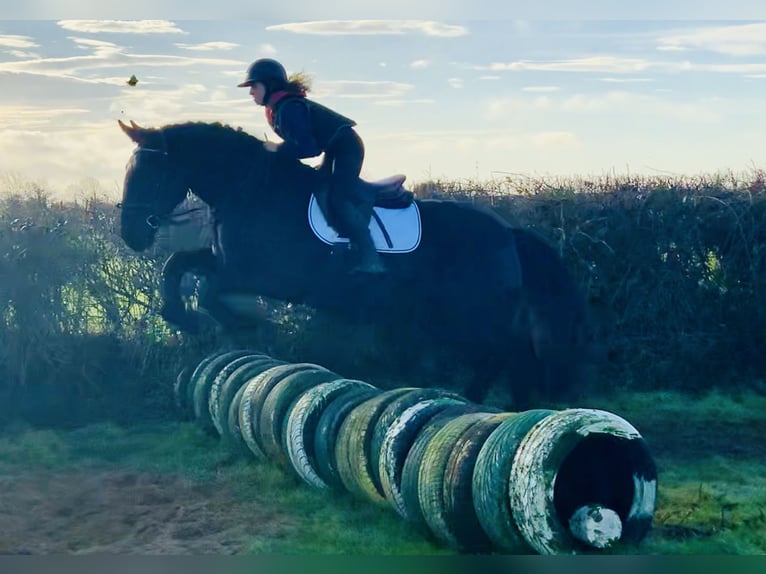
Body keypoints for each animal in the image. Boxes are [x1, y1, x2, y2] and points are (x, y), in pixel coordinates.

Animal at [118, 120, 600, 410]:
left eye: (149, 175)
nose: (131, 235)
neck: (250, 189)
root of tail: (508, 232)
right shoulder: (226, 262)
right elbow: (177, 266)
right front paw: (190, 319)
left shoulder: (260, 274)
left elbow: (206, 289)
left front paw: (236, 322)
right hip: (452, 315)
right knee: (501, 357)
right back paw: (482, 405)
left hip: (473, 312)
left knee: (507, 353)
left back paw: (495, 408)